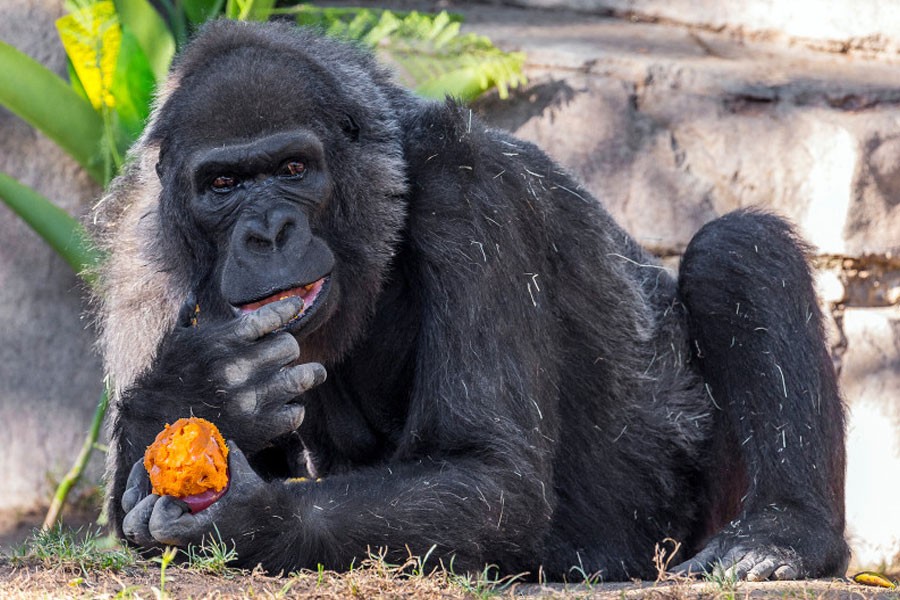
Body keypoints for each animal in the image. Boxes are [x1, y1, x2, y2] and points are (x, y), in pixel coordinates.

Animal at [93, 19, 852, 580]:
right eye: (222, 184)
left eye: (293, 168)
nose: (268, 232)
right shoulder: (140, 252)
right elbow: (126, 503)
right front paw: (206, 389)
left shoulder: (474, 188)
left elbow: (491, 477)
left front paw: (254, 518)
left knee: (737, 250)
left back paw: (782, 536)